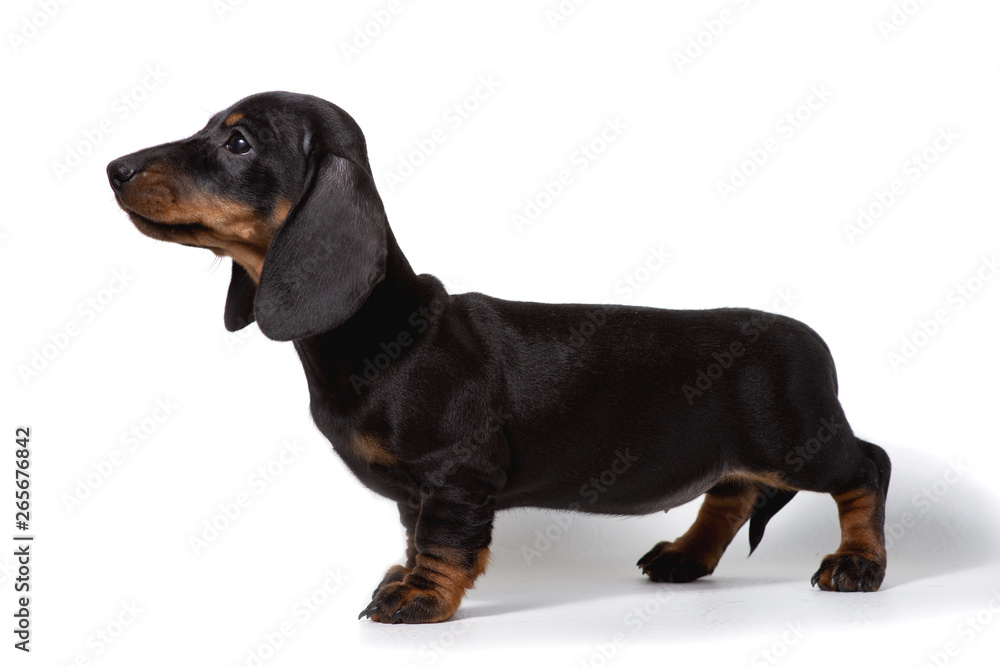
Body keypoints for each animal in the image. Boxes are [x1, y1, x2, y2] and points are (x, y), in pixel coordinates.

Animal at [107, 91, 892, 624]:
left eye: (238, 141)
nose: (115, 167)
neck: (383, 332)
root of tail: (813, 340)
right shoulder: (418, 489)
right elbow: (416, 537)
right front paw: (402, 578)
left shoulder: (457, 473)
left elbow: (445, 544)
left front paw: (419, 600)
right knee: (732, 492)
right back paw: (686, 555)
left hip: (797, 441)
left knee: (868, 467)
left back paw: (857, 563)